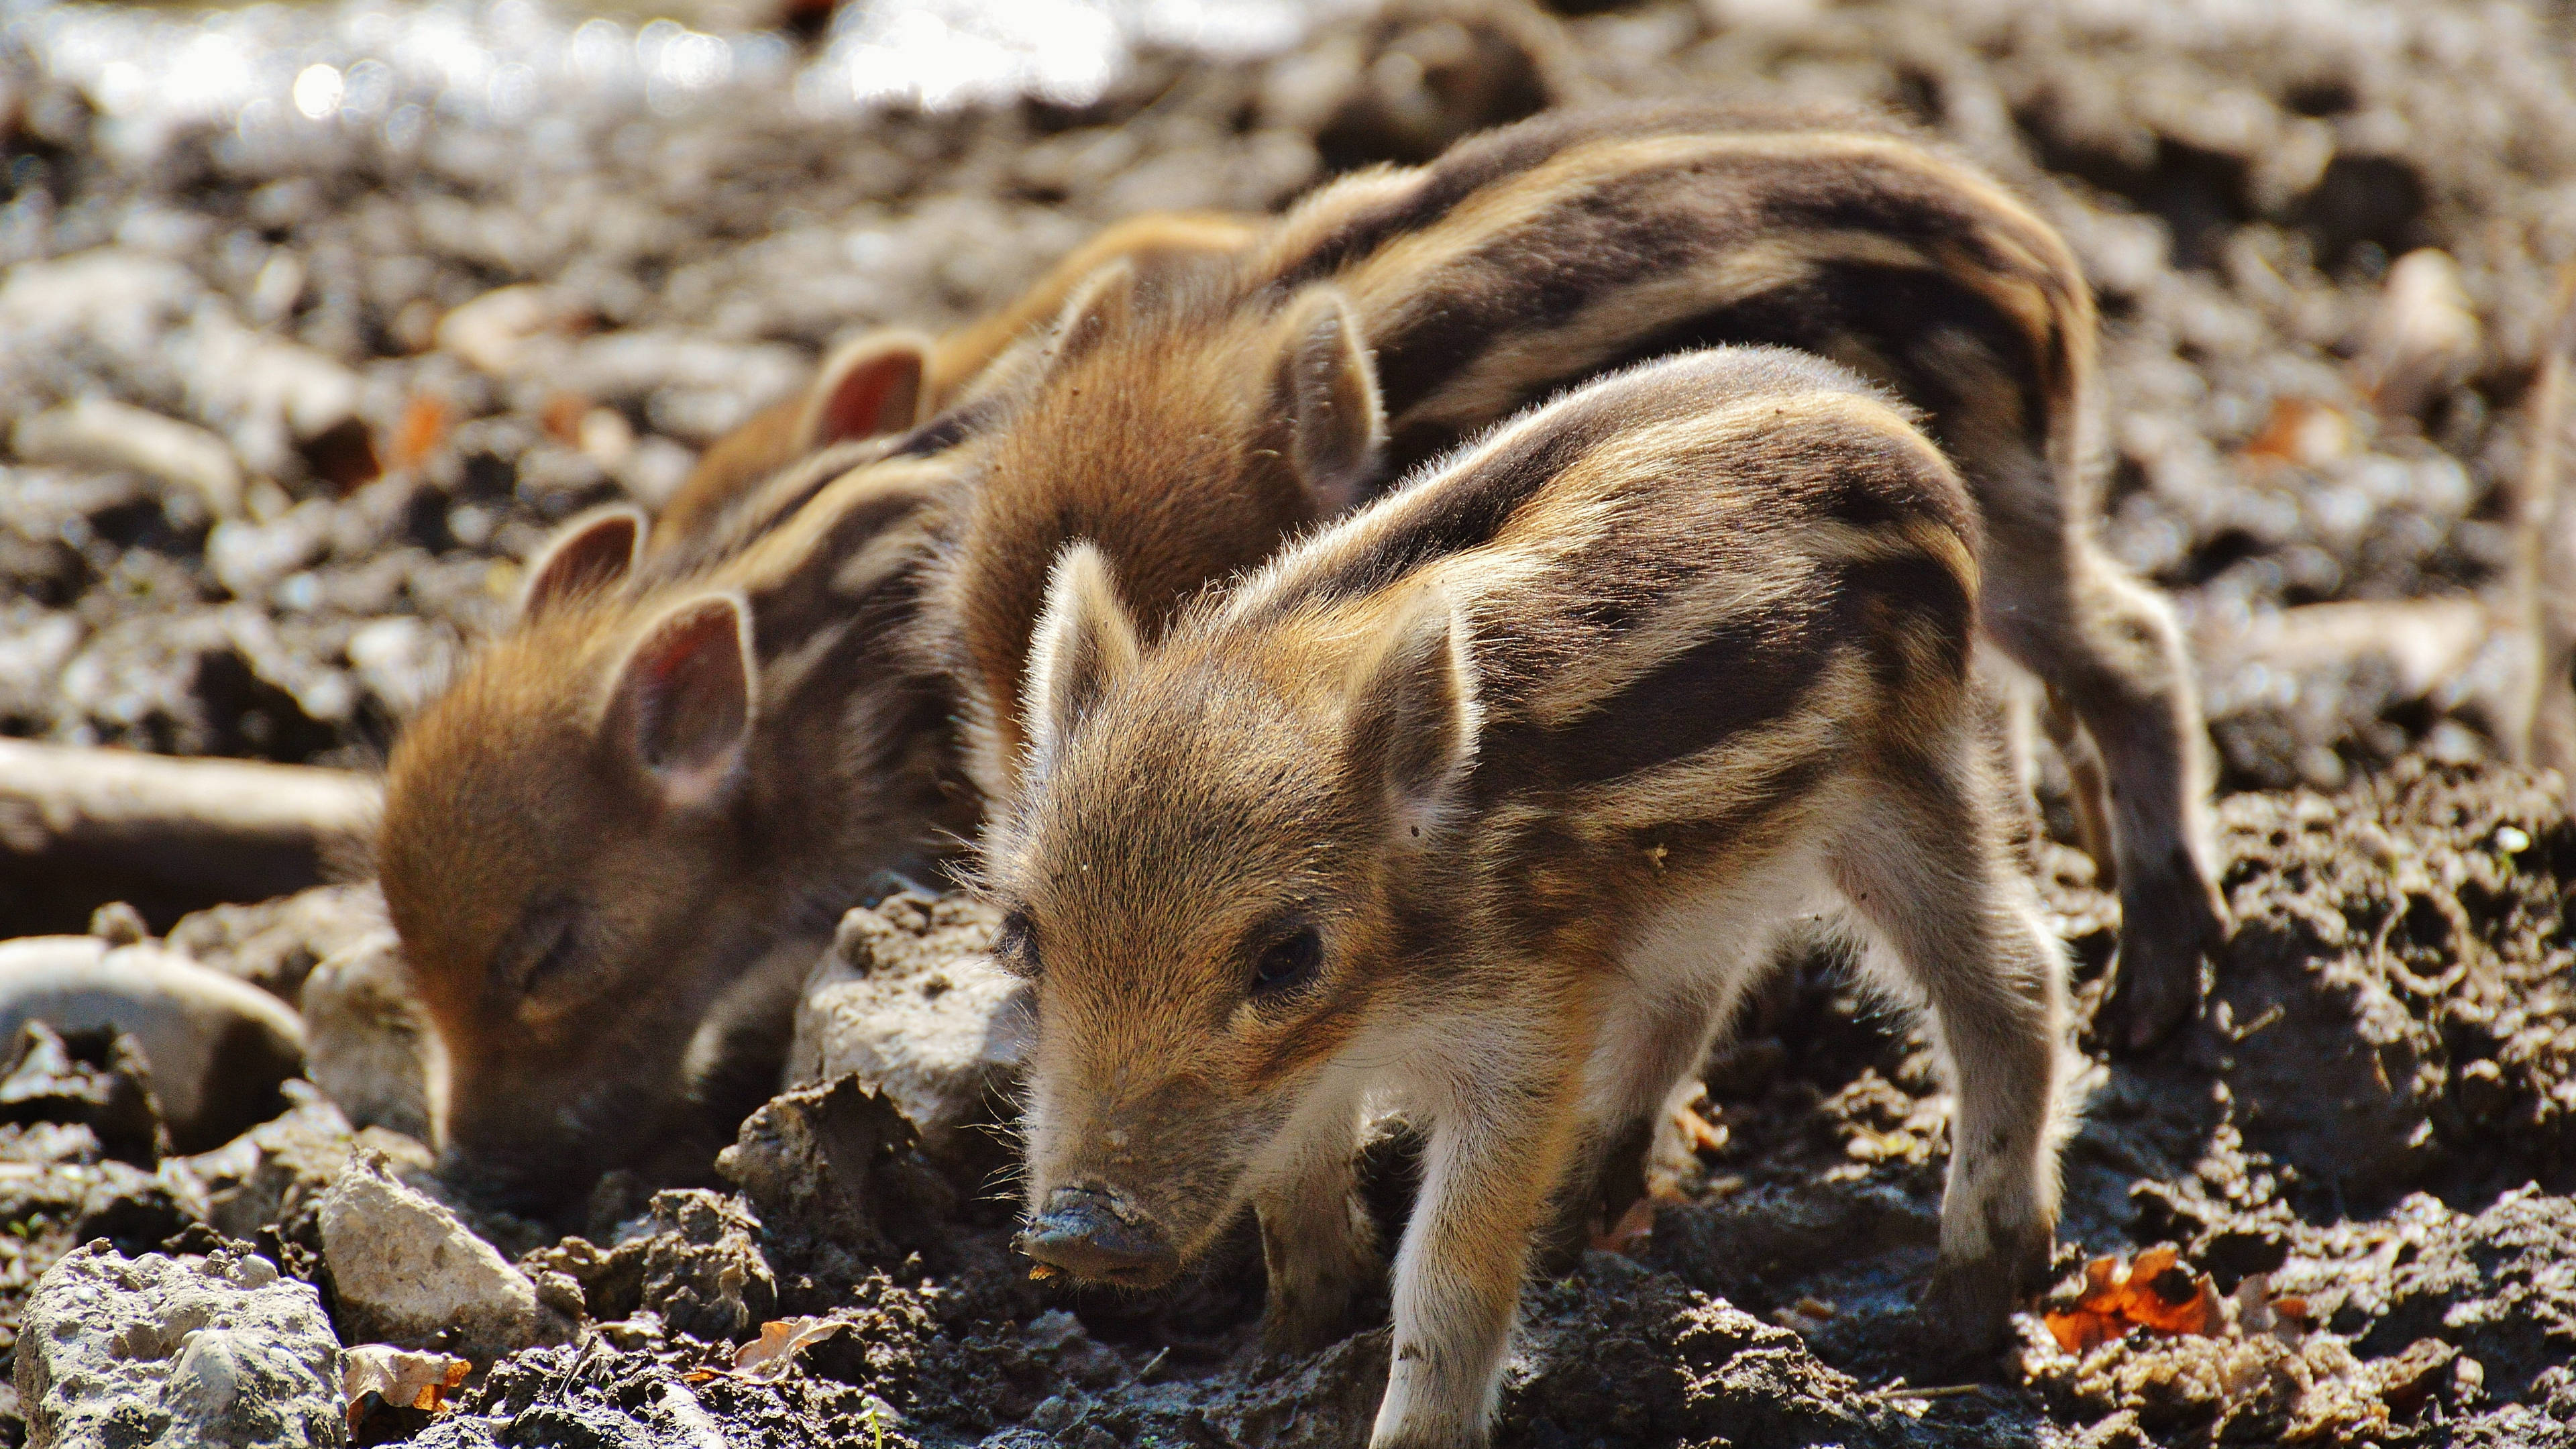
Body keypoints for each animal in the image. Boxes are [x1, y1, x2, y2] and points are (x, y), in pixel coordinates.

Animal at [984, 347, 2070, 1448]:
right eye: (1022, 935)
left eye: (1290, 954)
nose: (1081, 1232)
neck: (1386, 1004)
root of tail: (1891, 423)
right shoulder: (1312, 1074)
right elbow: (1295, 1188)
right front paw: (1293, 1344)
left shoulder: (1521, 1028)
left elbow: (1450, 1265)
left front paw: (1408, 1426)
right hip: (1712, 877)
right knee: (1693, 1001)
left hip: (1901, 785)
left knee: (2013, 977)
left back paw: (1965, 1301)